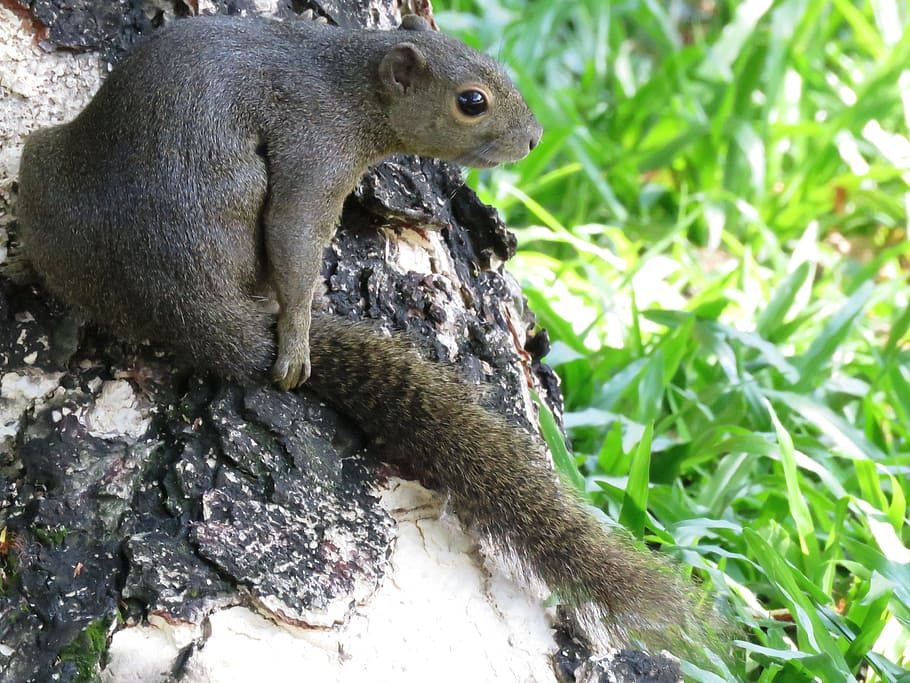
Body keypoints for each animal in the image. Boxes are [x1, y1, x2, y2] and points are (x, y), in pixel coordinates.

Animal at [16, 14, 712, 649]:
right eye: (472, 101)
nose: (536, 137)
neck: (350, 80)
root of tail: (192, 312)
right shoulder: (318, 147)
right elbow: (296, 229)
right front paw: (298, 335)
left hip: (43, 175)